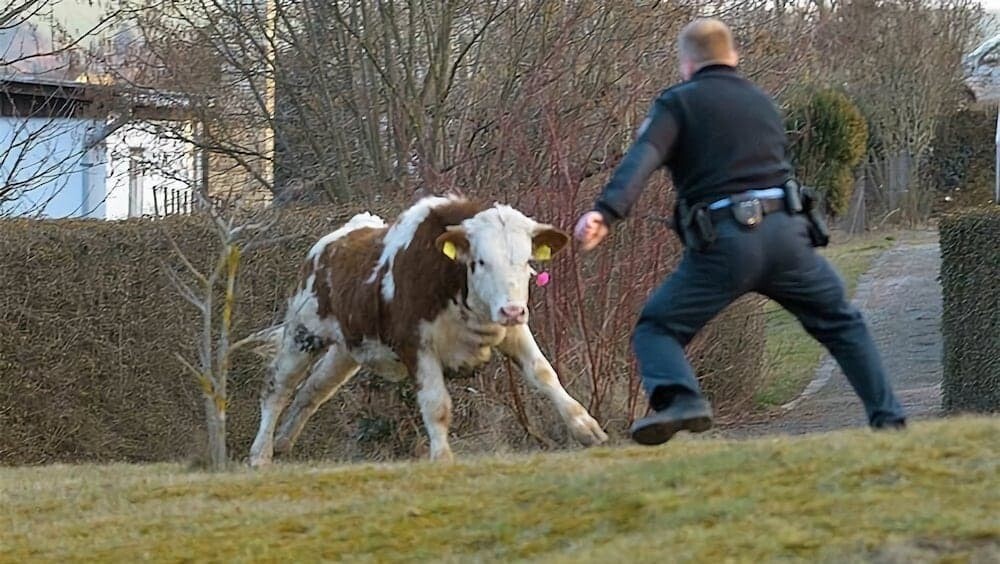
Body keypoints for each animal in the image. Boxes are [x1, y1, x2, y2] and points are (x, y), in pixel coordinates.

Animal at [250, 194, 608, 468]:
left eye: (525, 261)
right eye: (480, 261)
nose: (512, 310)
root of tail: (337, 238)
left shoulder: (514, 333)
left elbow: (544, 374)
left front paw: (585, 427)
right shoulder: (416, 343)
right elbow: (436, 403)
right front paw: (442, 455)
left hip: (346, 350)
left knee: (313, 391)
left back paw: (283, 441)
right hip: (302, 335)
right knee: (277, 389)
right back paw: (261, 453)